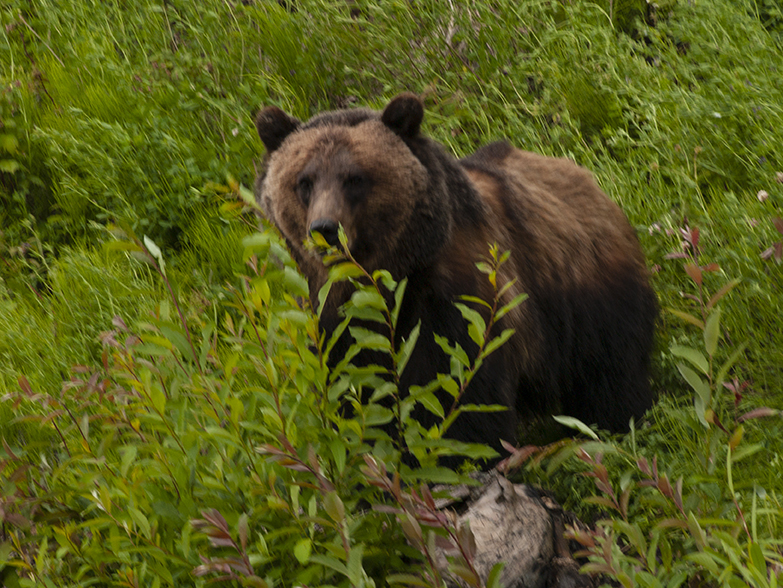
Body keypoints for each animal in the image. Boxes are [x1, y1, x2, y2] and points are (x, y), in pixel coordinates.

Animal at [254, 94, 660, 458]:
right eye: (304, 181)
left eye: (354, 178)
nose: (325, 229)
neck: (391, 276)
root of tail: (587, 178)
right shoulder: (334, 316)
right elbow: (354, 387)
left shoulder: (456, 301)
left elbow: (456, 388)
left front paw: (457, 454)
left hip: (589, 293)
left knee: (609, 372)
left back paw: (617, 422)